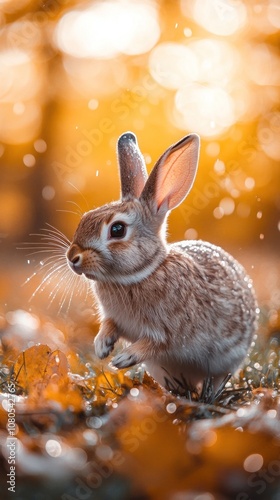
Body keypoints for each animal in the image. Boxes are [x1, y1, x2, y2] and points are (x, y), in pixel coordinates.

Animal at [66, 131, 258, 392]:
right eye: (85, 218)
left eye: (117, 229)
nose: (72, 257)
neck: (143, 273)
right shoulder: (114, 318)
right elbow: (109, 325)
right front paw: (101, 347)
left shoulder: (173, 331)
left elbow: (157, 343)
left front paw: (124, 358)